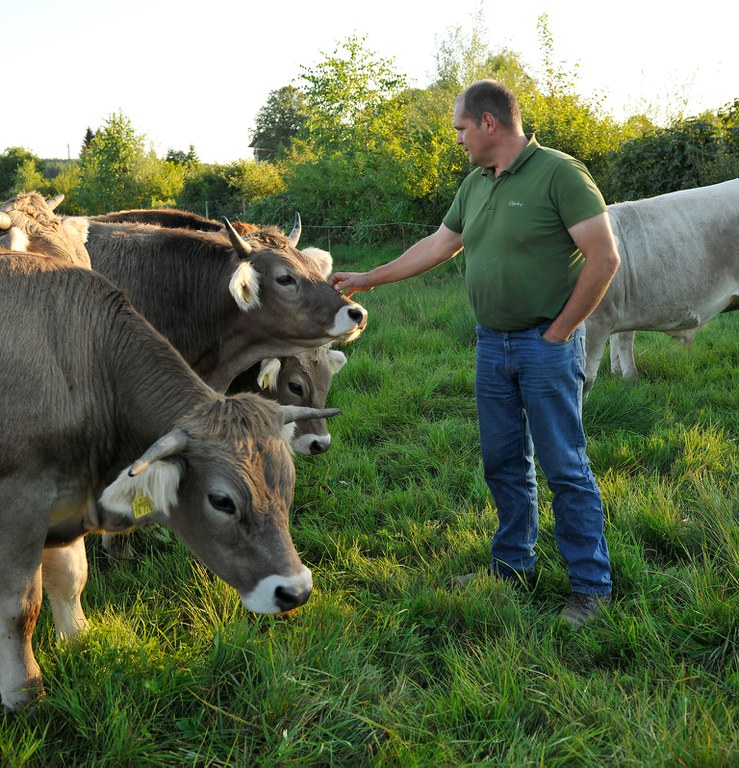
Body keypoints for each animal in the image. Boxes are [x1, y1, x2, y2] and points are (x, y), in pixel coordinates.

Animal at [0, 249, 340, 712]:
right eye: (221, 501)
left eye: (287, 487)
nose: (297, 592)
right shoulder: (22, 502)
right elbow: (21, 606)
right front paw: (25, 693)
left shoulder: (66, 498)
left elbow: (71, 577)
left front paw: (78, 640)